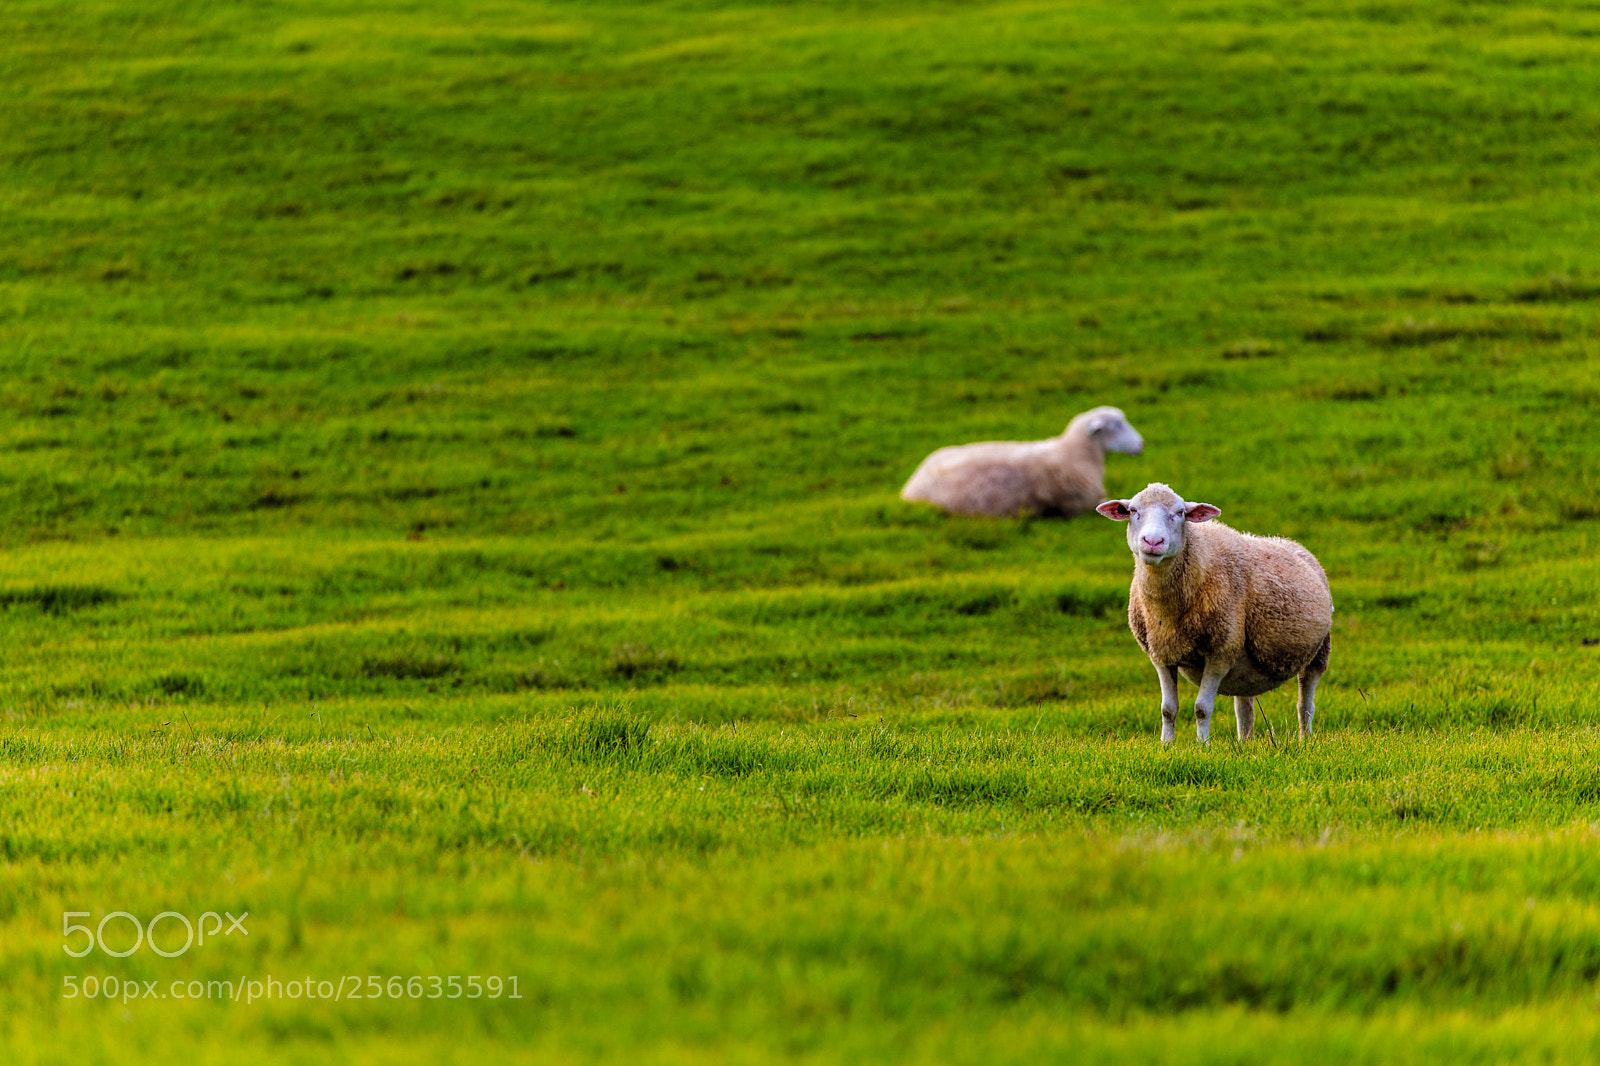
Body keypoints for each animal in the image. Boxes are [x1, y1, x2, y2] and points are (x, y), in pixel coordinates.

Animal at [1096, 483, 1332, 743]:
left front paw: (1202, 746)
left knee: (1305, 704)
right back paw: (1245, 744)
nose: (1153, 541)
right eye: (1132, 511)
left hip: (1319, 651)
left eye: (1180, 512)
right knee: (1244, 709)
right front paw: (1166, 745)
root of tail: (1290, 543)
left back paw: (1304, 741)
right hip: (1245, 667)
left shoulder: (1220, 651)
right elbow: (1168, 709)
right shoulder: (1160, 653)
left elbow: (1202, 708)